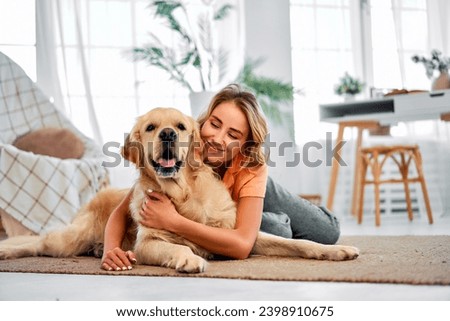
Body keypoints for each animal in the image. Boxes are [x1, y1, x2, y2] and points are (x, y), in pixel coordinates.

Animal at [0, 108, 358, 272]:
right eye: (150, 127)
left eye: (182, 126)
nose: (168, 134)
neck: (183, 195)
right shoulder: (148, 243)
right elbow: (175, 247)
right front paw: (188, 258)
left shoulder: (242, 236)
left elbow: (299, 244)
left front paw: (338, 251)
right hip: (70, 238)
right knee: (35, 241)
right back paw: (7, 251)